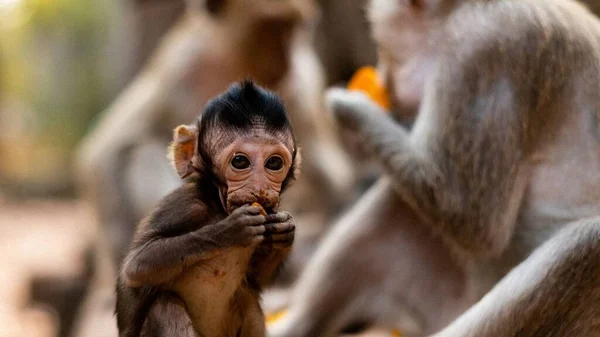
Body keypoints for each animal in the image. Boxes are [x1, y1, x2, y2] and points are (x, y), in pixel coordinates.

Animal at [115, 80, 300, 336]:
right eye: (240, 161)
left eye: (274, 163)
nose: (260, 188)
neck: (219, 207)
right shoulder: (188, 205)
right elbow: (137, 266)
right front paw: (229, 231)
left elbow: (255, 280)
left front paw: (285, 231)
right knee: (165, 306)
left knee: (248, 301)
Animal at [268, 0, 600, 336]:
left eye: (386, 51)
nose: (384, 77)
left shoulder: (485, 54)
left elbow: (474, 221)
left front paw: (350, 107)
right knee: (398, 203)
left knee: (587, 243)